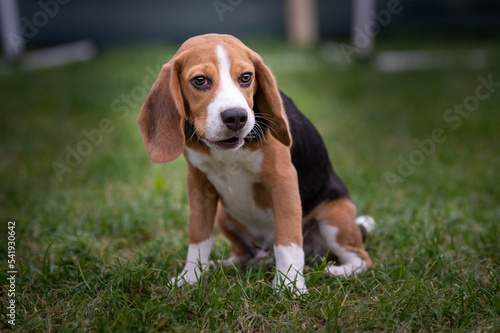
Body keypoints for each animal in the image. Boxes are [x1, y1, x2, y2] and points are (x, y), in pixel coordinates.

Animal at [139, 33, 374, 294]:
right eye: (199, 80)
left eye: (246, 77)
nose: (236, 117)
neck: (228, 151)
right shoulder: (198, 182)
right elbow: (199, 236)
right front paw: (190, 278)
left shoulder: (282, 179)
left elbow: (287, 239)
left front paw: (289, 285)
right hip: (223, 215)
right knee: (243, 255)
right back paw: (222, 266)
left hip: (335, 215)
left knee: (361, 258)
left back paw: (335, 271)